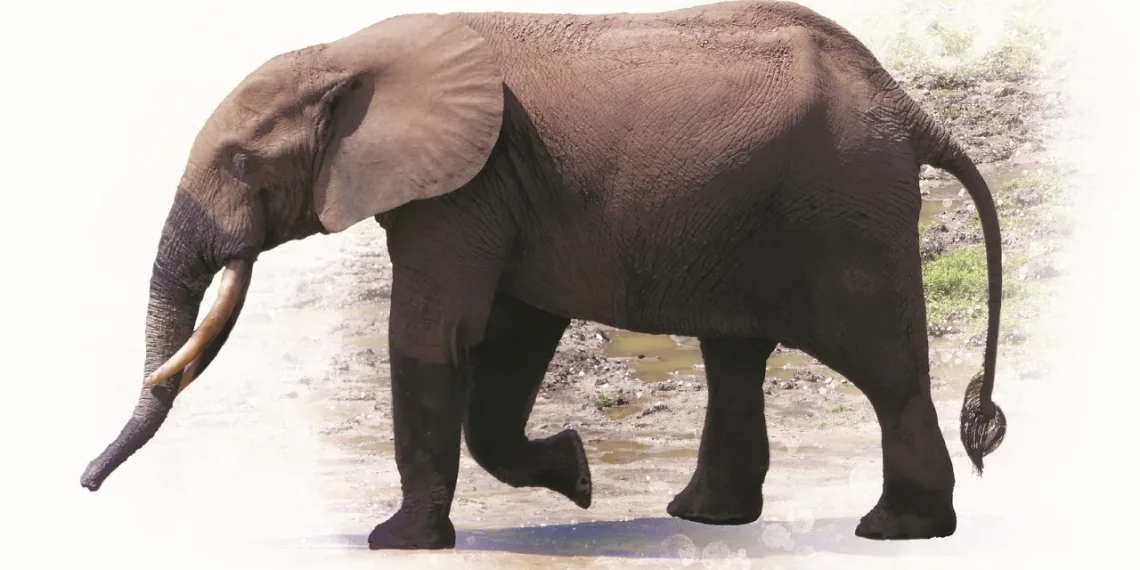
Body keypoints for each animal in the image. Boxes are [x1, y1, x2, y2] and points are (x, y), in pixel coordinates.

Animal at [80, 0, 1008, 550]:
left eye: (242, 164)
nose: (86, 484)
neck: (349, 53)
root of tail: (908, 106)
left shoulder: (466, 187)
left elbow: (434, 335)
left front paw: (394, 543)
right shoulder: (501, 192)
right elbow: (512, 338)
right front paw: (579, 477)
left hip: (843, 209)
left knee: (884, 365)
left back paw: (897, 530)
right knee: (735, 357)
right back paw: (703, 515)